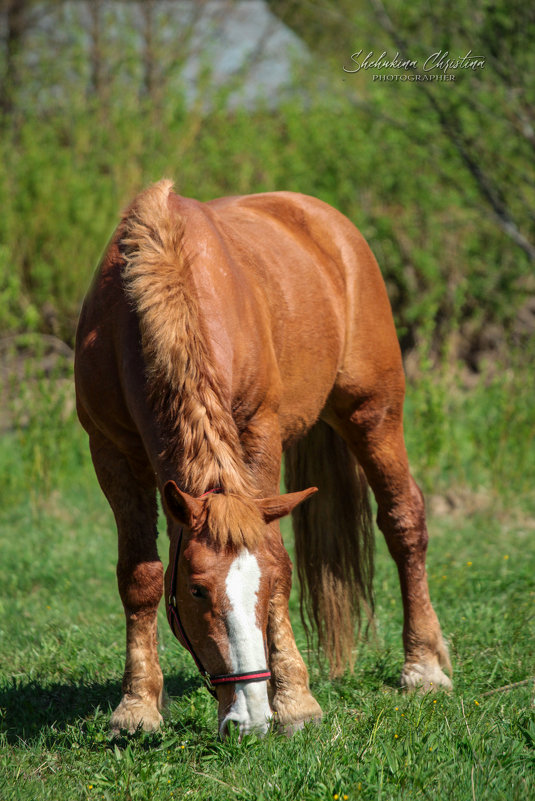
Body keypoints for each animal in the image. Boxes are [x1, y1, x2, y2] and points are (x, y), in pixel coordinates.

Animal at [75, 181, 452, 736]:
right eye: (196, 591)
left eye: (265, 584)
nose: (249, 714)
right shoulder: (111, 452)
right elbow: (138, 576)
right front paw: (138, 707)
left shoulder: (259, 433)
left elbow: (278, 552)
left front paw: (295, 702)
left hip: (373, 412)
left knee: (404, 519)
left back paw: (423, 665)